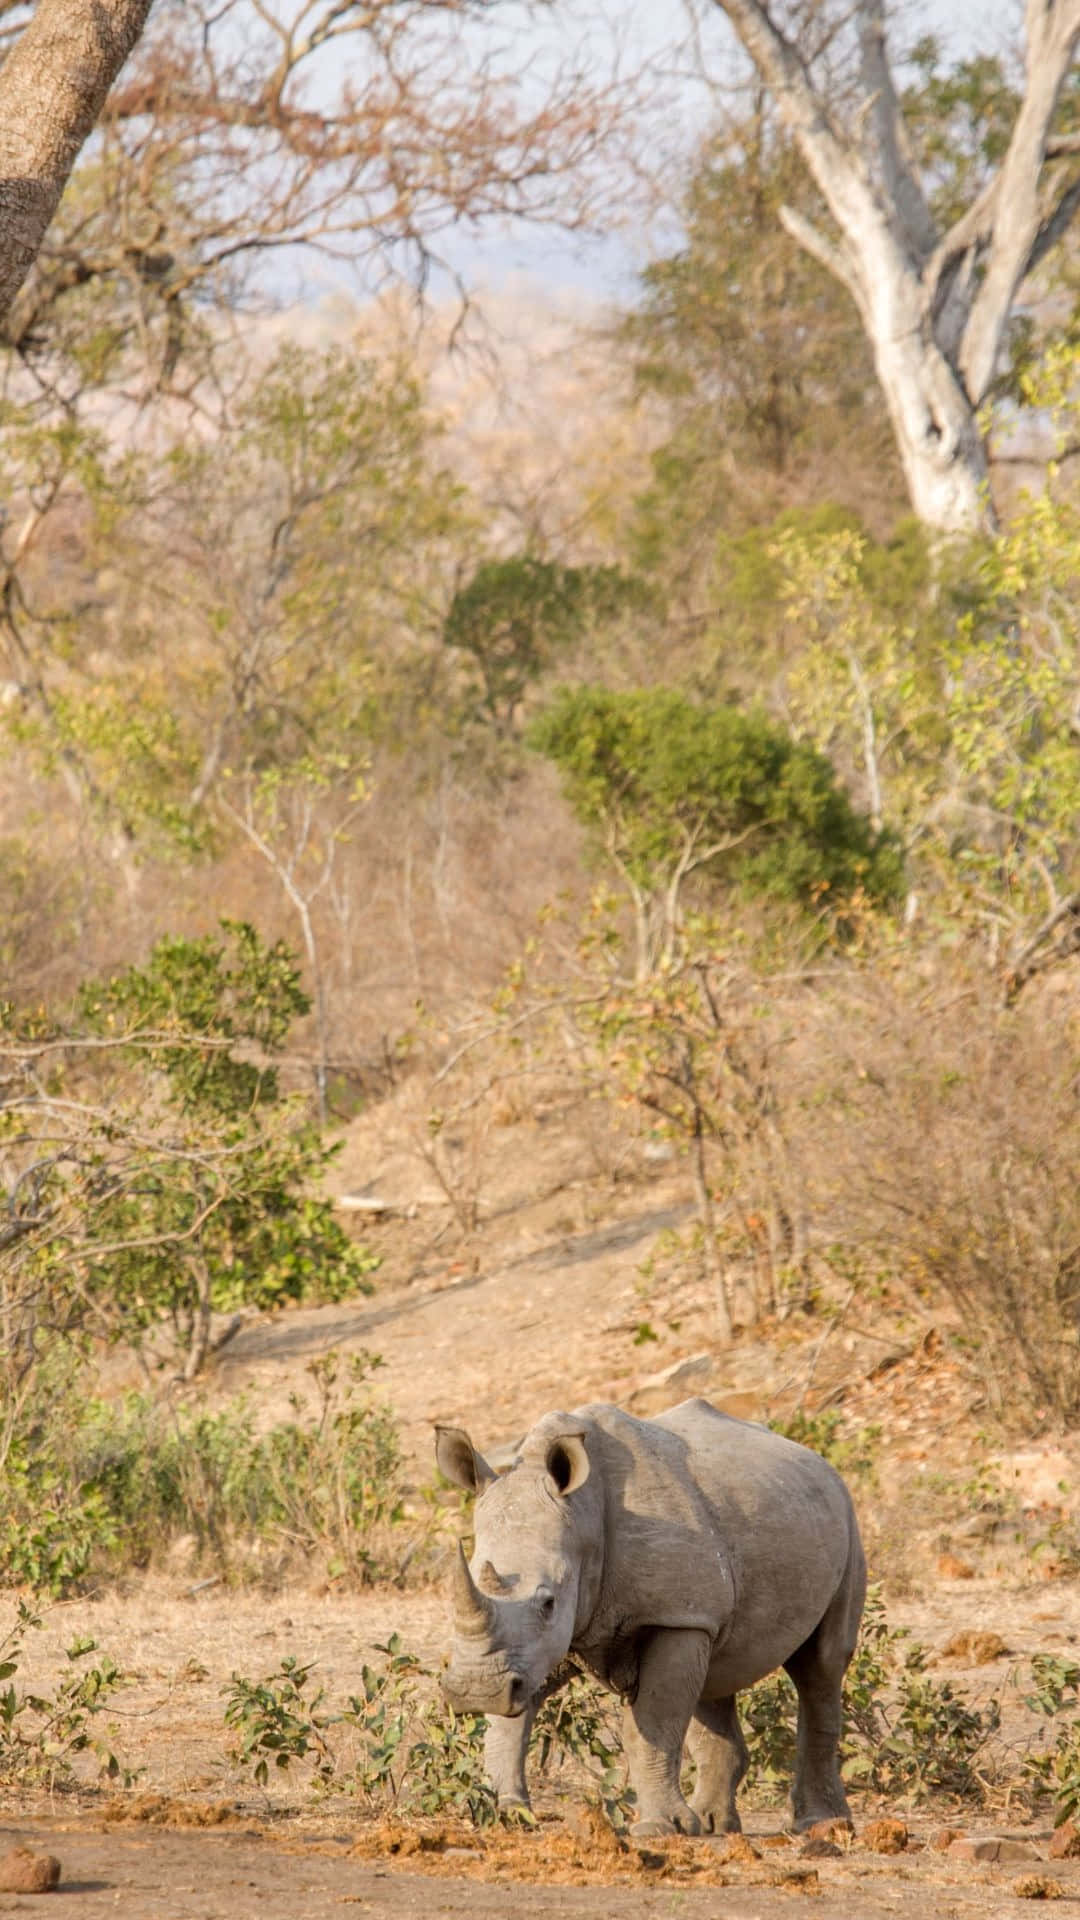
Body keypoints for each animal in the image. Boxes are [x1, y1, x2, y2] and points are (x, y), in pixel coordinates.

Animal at [435, 1397, 866, 1838]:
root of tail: (819, 1460)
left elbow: (653, 1723)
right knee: (715, 1677)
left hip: (846, 1523)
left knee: (821, 1666)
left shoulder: (670, 1617)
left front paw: (661, 1828)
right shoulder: (533, 1647)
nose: (475, 1691)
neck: (585, 1513)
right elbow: (510, 1722)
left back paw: (819, 1824)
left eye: (549, 1602)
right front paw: (507, 1815)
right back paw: (715, 1825)